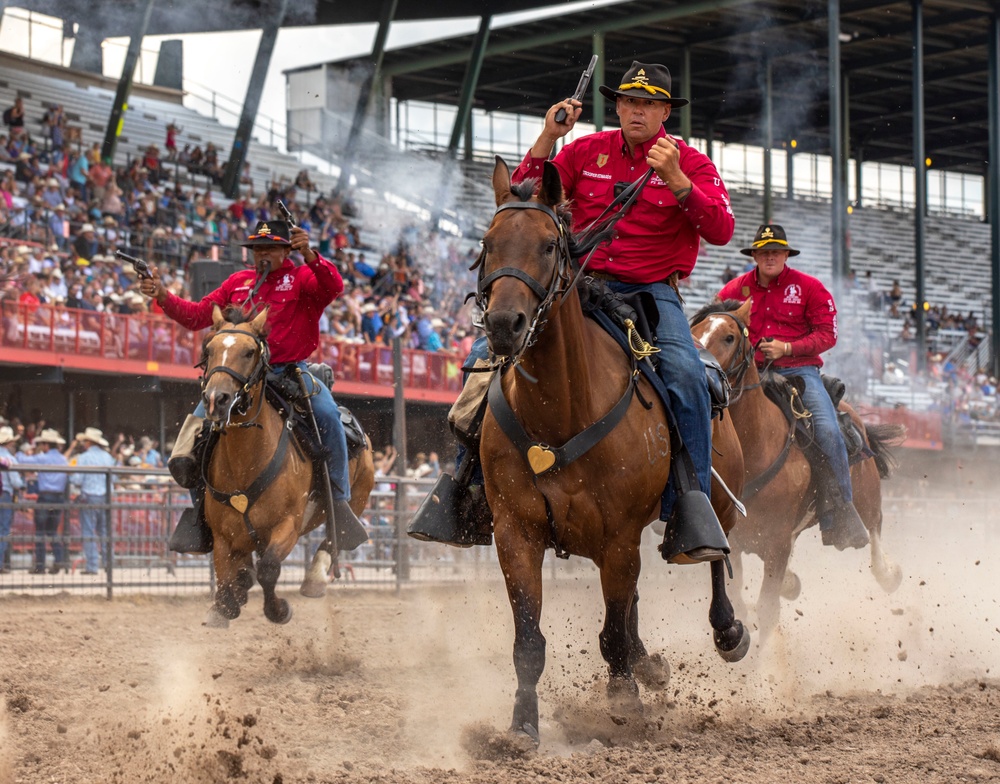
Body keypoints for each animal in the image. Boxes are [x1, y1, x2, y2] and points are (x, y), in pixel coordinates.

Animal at [197, 304, 374, 628]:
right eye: (210, 349)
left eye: (249, 352)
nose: (216, 399)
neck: (246, 465)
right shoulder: (222, 537)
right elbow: (226, 576)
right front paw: (225, 605)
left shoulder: (288, 526)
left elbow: (268, 568)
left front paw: (277, 610)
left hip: (358, 497)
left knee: (335, 534)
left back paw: (315, 578)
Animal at [478, 156, 752, 744]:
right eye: (488, 244)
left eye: (549, 245)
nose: (504, 324)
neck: (560, 412)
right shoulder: (515, 532)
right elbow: (530, 641)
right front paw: (522, 727)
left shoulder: (619, 537)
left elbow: (613, 634)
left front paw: (623, 703)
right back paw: (651, 664)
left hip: (714, 503)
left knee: (716, 559)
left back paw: (727, 631)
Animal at [692, 298, 904, 640]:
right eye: (693, 329)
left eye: (729, 337)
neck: (756, 443)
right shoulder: (733, 540)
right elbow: (739, 599)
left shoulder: (777, 543)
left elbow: (767, 610)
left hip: (867, 499)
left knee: (875, 532)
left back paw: (888, 572)